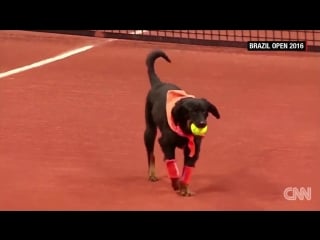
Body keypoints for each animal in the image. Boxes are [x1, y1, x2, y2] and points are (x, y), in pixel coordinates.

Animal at [143, 49, 220, 197]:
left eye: (205, 111)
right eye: (191, 111)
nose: (202, 124)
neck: (184, 129)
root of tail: (158, 84)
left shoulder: (193, 150)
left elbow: (186, 171)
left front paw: (185, 189)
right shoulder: (166, 143)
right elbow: (172, 166)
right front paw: (176, 184)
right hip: (149, 131)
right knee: (151, 154)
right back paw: (152, 174)